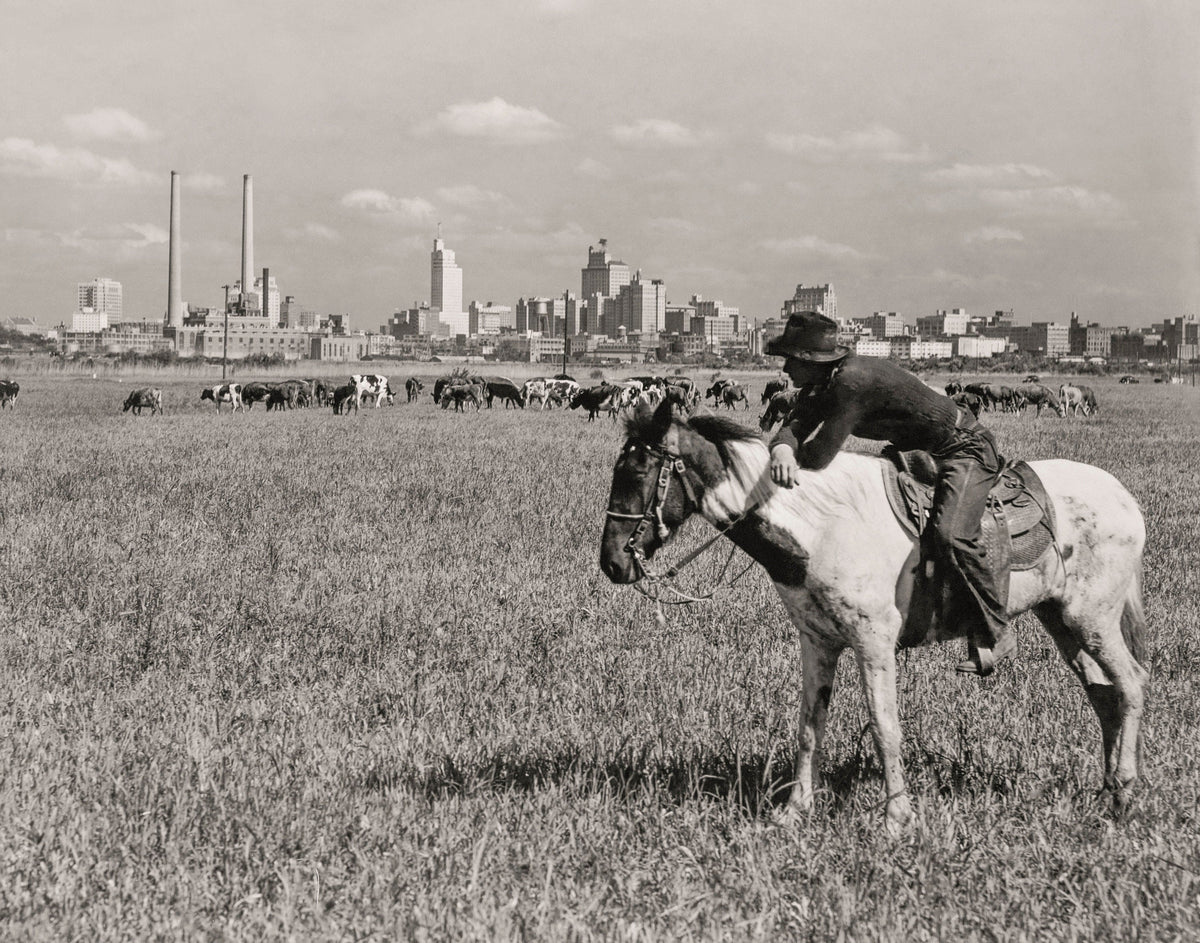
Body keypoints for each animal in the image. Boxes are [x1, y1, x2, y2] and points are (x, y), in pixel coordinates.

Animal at [599, 402, 1148, 831]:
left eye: (638, 472)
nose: (611, 563)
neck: (819, 527)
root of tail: (1124, 498)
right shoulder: (818, 642)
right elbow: (809, 726)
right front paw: (795, 811)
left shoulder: (874, 642)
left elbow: (885, 726)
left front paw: (897, 817)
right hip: (1062, 620)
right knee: (1103, 695)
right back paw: (1104, 792)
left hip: (1093, 618)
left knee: (1131, 684)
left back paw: (1124, 793)